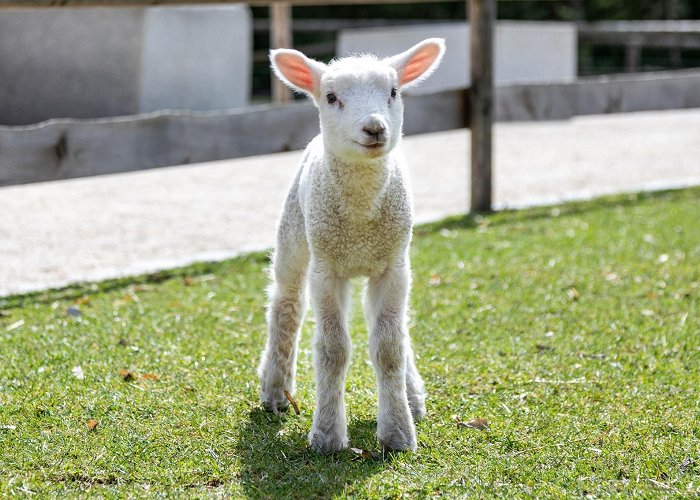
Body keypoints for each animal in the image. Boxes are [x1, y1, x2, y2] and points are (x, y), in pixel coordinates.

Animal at [260, 38, 446, 454]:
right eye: (331, 97)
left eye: (393, 92)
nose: (374, 127)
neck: (361, 219)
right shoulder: (327, 269)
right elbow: (333, 349)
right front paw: (327, 436)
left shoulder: (393, 267)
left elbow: (389, 345)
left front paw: (398, 432)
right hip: (295, 231)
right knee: (286, 303)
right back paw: (275, 390)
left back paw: (412, 396)